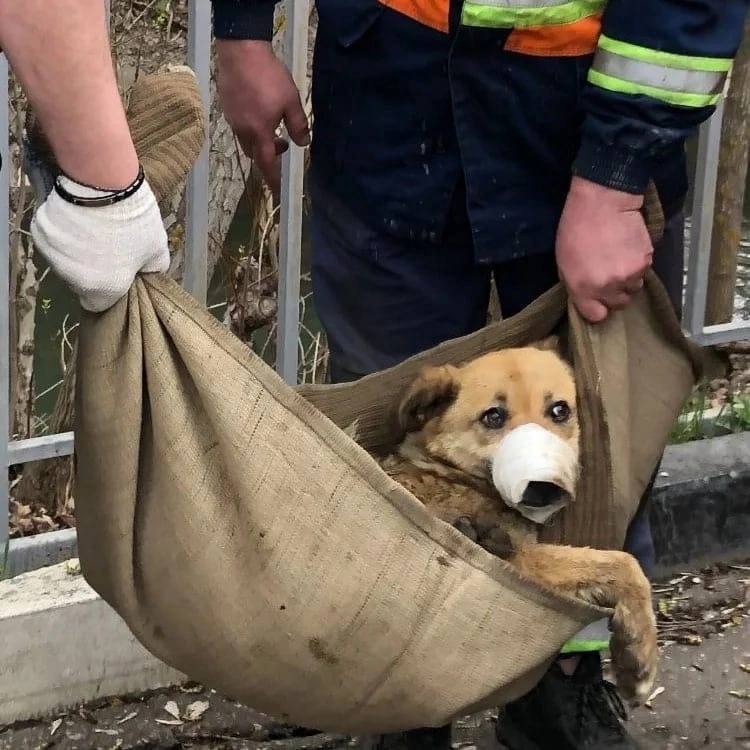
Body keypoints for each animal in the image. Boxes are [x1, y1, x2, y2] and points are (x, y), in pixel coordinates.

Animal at [382, 344, 656, 708]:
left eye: (559, 410)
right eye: (493, 416)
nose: (544, 487)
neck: (451, 472)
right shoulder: (521, 563)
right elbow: (625, 564)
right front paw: (639, 660)